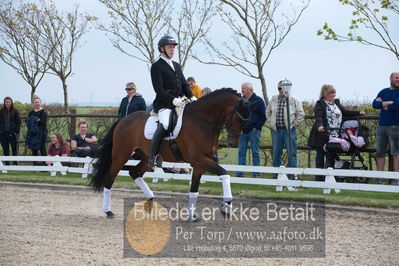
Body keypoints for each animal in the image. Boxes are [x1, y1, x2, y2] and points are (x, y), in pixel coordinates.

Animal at [90, 88, 256, 221]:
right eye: (238, 117)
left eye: (247, 119)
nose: (233, 143)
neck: (202, 121)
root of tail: (123, 120)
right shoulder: (199, 159)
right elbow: (224, 173)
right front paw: (226, 206)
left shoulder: (200, 163)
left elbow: (194, 189)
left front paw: (192, 216)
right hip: (121, 155)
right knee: (110, 178)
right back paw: (108, 211)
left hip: (147, 157)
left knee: (134, 172)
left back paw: (150, 202)